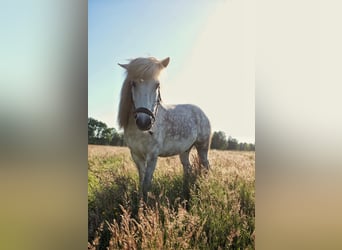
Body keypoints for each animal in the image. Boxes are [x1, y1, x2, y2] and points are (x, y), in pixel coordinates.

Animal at [117, 55, 211, 200]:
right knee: (187, 168)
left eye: (157, 85)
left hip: (203, 147)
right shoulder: (136, 155)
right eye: (133, 83)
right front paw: (140, 202)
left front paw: (144, 205)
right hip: (185, 150)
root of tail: (201, 112)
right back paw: (185, 192)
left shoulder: (152, 156)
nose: (144, 122)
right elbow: (141, 181)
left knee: (206, 166)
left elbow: (146, 184)